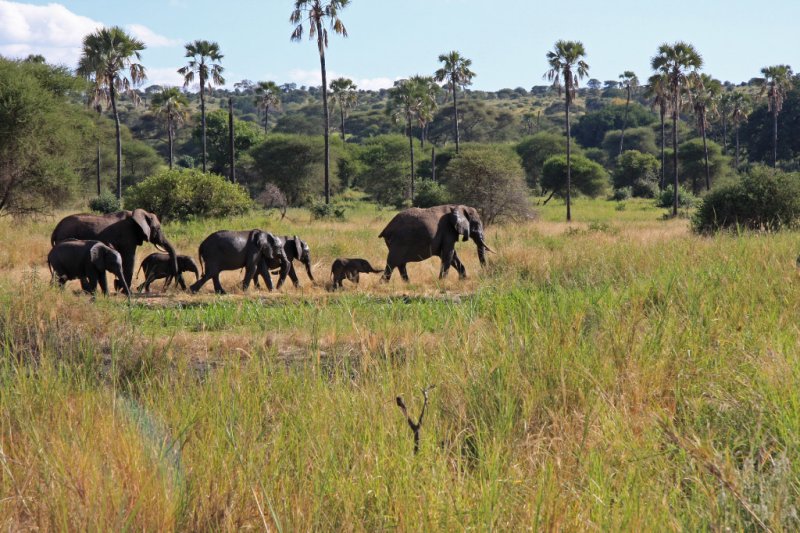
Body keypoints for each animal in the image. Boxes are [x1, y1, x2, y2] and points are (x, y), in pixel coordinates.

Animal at [51, 209, 181, 294]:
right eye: (158, 229)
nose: (166, 289)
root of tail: (56, 229)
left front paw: (119, 286)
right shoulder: (128, 236)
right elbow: (129, 259)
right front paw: (124, 290)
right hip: (65, 237)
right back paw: (87, 290)